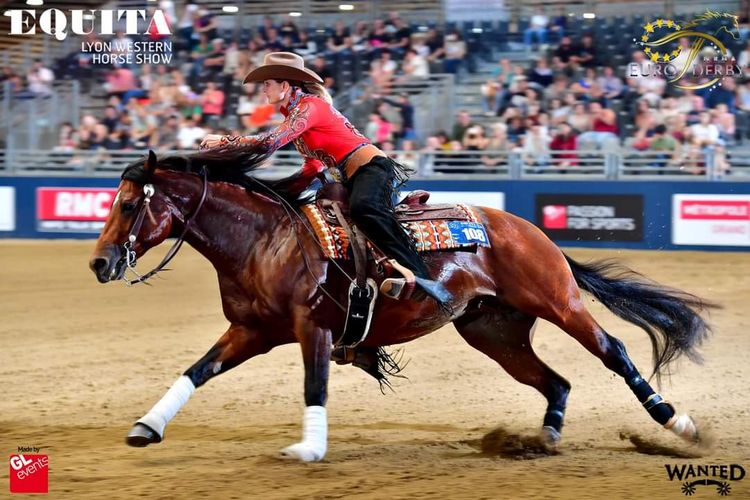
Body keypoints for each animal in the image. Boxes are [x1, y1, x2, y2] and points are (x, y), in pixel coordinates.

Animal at [89, 149, 715, 462]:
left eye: (128, 205)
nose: (99, 264)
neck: (265, 238)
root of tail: (529, 229)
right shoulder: (251, 332)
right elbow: (195, 372)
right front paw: (146, 426)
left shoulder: (313, 329)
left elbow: (314, 385)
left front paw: (310, 448)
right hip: (495, 333)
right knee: (555, 382)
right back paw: (542, 441)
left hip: (560, 303)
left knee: (613, 350)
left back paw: (678, 422)